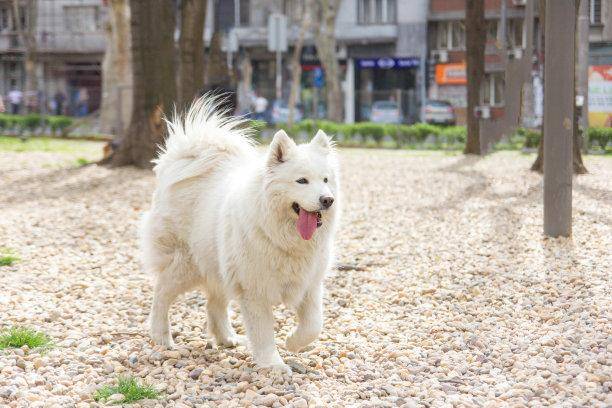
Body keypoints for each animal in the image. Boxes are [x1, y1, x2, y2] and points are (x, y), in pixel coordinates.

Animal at [141, 96, 340, 372]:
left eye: (325, 180)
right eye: (302, 181)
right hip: (186, 265)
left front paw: (292, 343)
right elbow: (263, 333)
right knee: (161, 292)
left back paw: (226, 338)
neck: (284, 238)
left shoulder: (309, 285)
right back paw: (161, 337)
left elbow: (313, 325)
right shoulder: (254, 290)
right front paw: (274, 365)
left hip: (219, 265)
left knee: (213, 304)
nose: (327, 200)